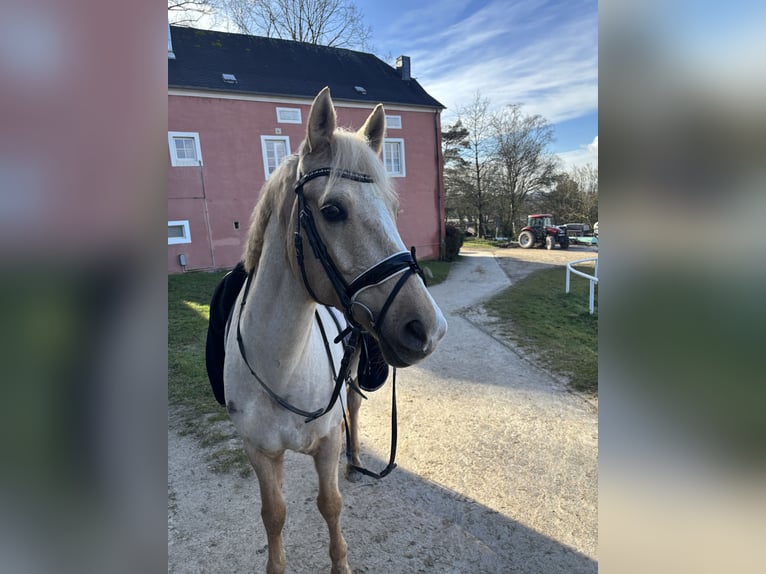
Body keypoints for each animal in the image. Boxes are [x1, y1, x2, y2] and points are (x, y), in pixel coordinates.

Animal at [222, 86, 450, 574]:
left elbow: (330, 505)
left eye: (394, 209)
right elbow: (274, 515)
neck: (281, 367)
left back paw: (357, 459)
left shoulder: (325, 444)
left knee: (355, 409)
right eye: (332, 210)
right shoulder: (259, 452)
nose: (429, 329)